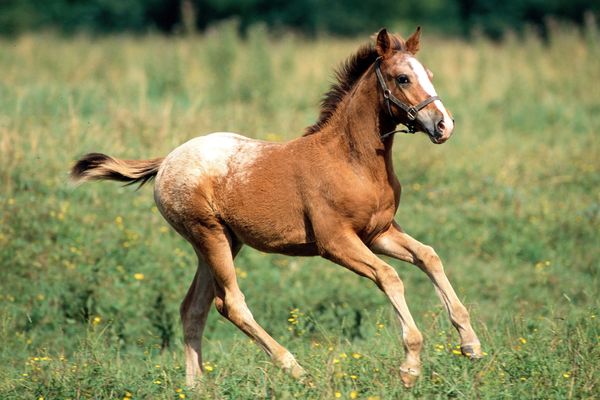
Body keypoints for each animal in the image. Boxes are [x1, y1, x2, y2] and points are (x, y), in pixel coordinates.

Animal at [70, 27, 482, 388]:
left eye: (429, 74)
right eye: (402, 78)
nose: (444, 125)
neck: (352, 160)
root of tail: (167, 160)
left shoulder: (378, 232)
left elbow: (428, 256)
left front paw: (471, 344)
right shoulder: (336, 242)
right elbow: (389, 276)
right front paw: (410, 366)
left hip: (220, 243)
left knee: (193, 308)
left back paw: (197, 386)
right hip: (209, 236)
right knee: (230, 303)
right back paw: (295, 369)